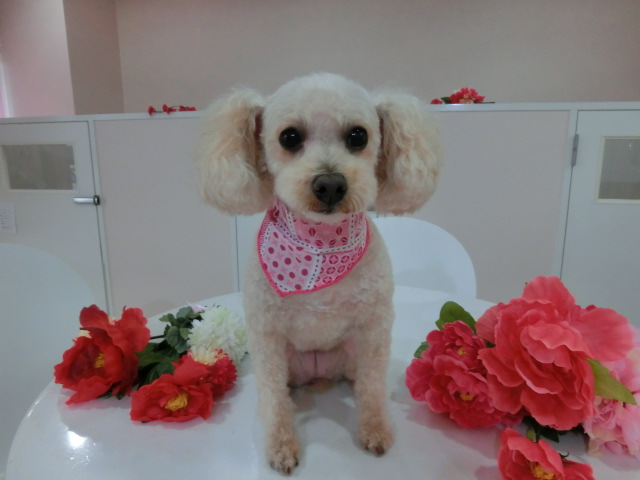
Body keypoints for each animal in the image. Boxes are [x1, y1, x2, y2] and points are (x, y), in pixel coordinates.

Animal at [197, 73, 442, 474]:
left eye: (358, 136)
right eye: (289, 137)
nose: (330, 184)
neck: (320, 247)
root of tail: (318, 373)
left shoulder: (374, 327)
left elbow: (373, 387)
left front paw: (375, 429)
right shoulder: (266, 334)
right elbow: (275, 401)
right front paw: (281, 446)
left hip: (351, 355)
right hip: (288, 365)